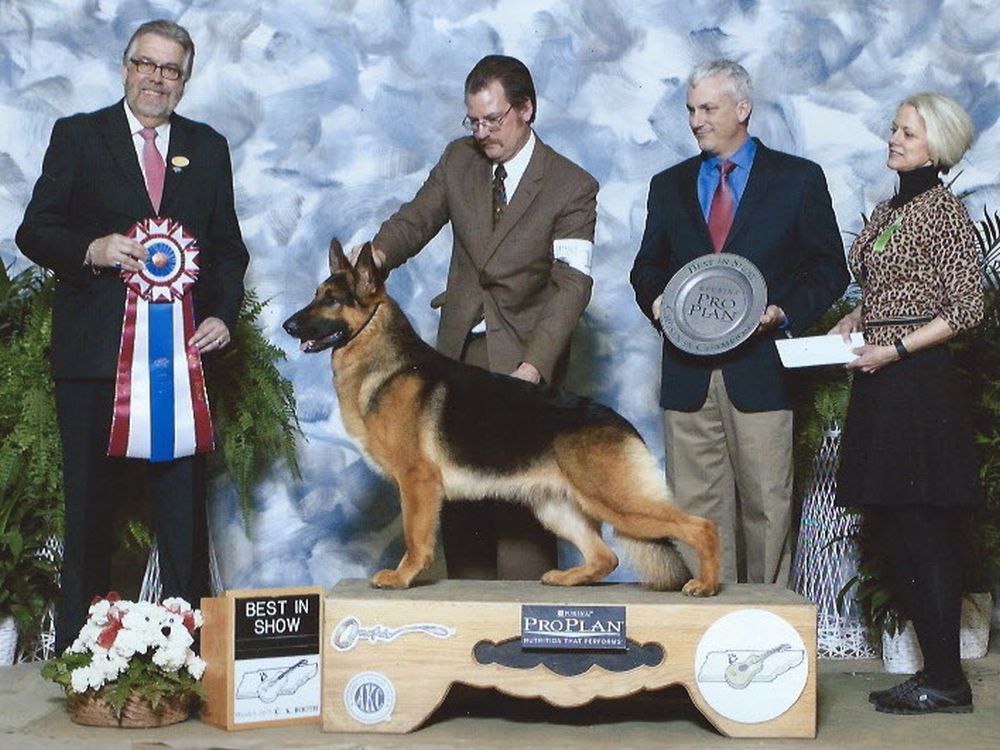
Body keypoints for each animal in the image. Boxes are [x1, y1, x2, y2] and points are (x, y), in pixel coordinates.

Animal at [282, 244, 720, 596]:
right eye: (316, 296)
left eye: (332, 300)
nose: (288, 325)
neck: (383, 359)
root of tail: (623, 424)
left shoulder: (417, 482)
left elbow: (415, 537)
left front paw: (402, 577)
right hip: (557, 508)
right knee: (605, 557)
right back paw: (568, 578)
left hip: (618, 501)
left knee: (701, 527)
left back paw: (707, 585)